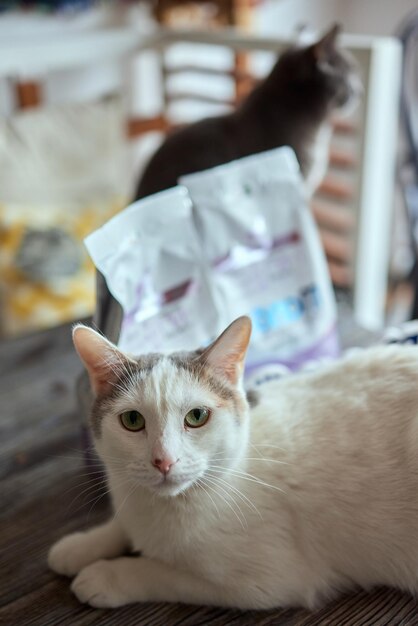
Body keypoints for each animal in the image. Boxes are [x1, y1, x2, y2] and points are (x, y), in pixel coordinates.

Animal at [48, 314, 418, 608]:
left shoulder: (266, 581)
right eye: (133, 421)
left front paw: (106, 576)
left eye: (197, 416)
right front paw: (79, 546)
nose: (163, 461)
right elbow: (120, 526)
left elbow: (161, 572)